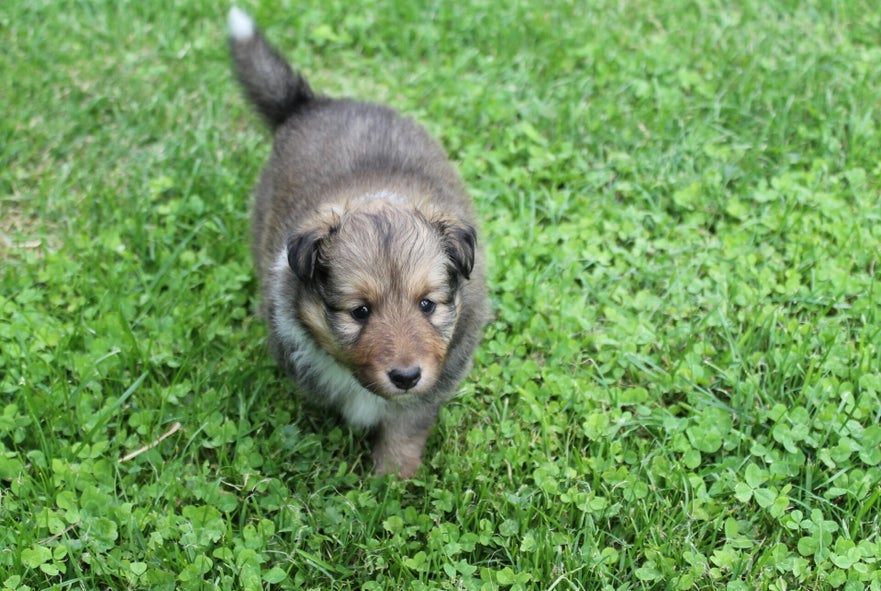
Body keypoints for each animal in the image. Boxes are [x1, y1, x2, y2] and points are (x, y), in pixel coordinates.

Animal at [228, 7, 488, 477]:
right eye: (359, 312)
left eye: (427, 305)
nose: (405, 377)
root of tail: (314, 103)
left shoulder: (426, 394)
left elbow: (403, 430)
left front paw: (392, 480)